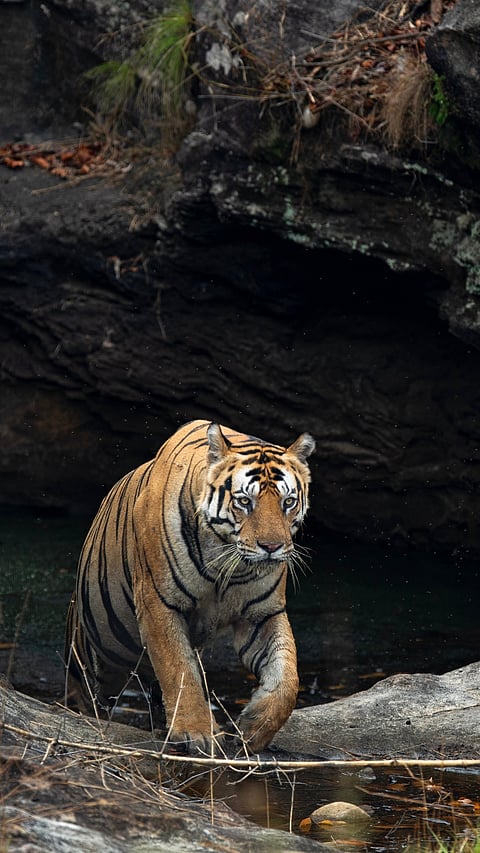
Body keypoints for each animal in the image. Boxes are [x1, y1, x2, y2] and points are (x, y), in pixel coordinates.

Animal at [65, 419, 315, 753]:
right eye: (244, 502)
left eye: (288, 502)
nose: (272, 547)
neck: (228, 565)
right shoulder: (157, 604)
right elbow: (179, 669)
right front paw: (196, 733)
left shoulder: (261, 615)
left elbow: (287, 676)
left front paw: (254, 728)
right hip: (88, 654)